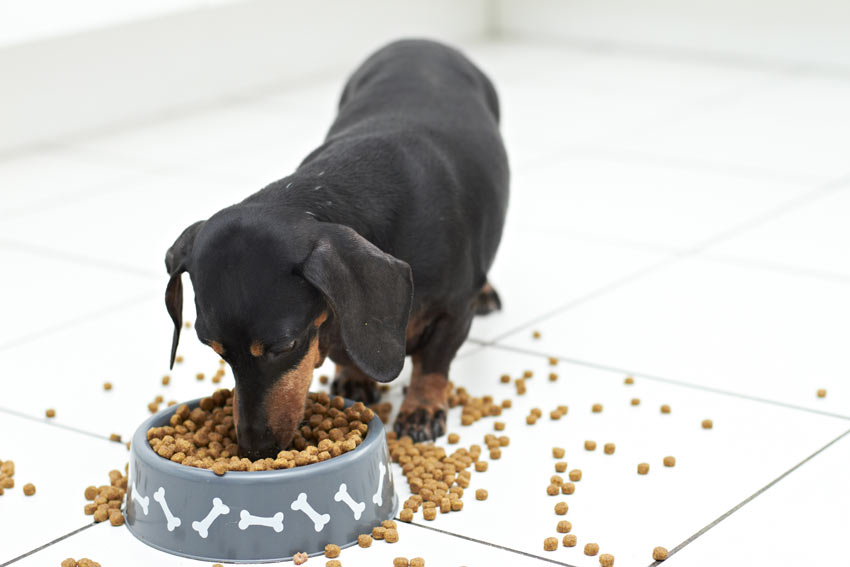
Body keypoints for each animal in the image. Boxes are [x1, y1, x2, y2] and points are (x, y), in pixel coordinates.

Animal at [163, 37, 506, 460]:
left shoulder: (453, 311)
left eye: (286, 345)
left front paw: (421, 410)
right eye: (215, 349)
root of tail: (418, 41)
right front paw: (354, 377)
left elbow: (433, 363)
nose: (254, 450)